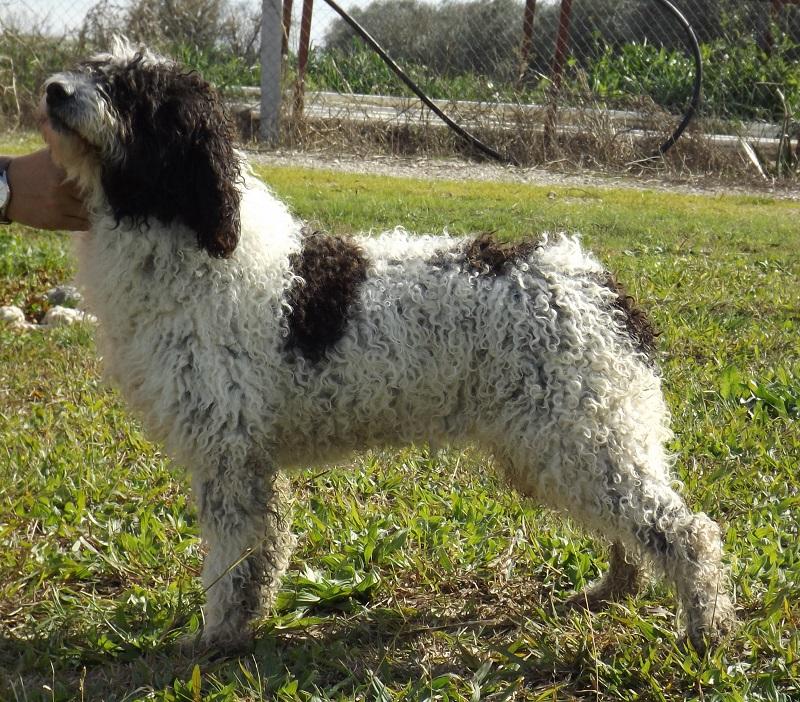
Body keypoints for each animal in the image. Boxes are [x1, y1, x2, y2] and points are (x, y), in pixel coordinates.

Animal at [40, 38, 736, 656]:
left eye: (132, 91)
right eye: (91, 67)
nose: (52, 91)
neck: (188, 232)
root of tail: (595, 283)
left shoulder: (228, 453)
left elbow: (237, 561)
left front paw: (216, 638)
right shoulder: (245, 457)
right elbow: (261, 554)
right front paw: (236, 630)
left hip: (578, 438)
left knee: (684, 531)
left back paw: (705, 630)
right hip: (566, 445)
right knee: (634, 529)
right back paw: (614, 589)